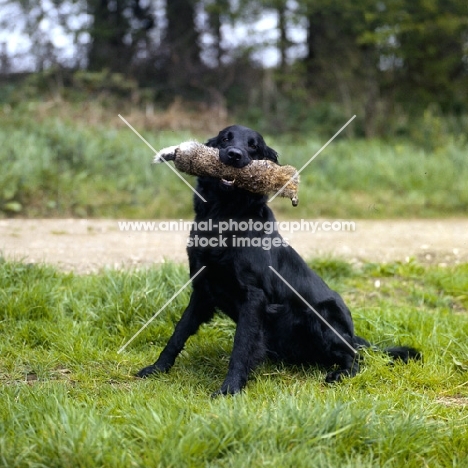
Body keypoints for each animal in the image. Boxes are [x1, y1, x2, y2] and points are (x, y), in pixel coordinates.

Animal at [137, 124, 418, 394]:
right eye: (226, 139)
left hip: (319, 317)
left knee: (356, 356)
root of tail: (352, 334)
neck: (225, 215)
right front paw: (157, 368)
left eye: (254, 146)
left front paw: (230, 388)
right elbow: (179, 332)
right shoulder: (203, 289)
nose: (234, 155)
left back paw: (340, 374)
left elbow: (241, 345)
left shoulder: (254, 296)